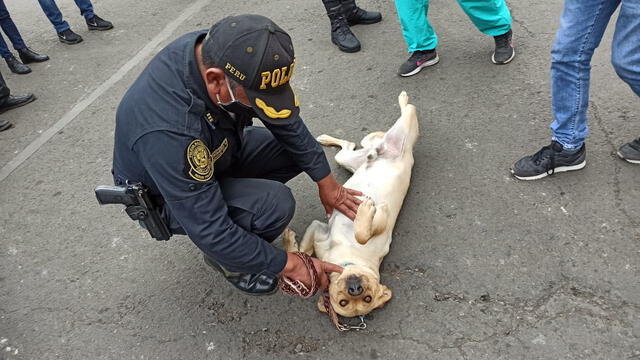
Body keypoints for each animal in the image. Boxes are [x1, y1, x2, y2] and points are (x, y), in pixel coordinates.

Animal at [284, 90, 420, 318]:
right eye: (344, 302)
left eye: (367, 298)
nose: (355, 288)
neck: (349, 259)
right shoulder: (318, 229)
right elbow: (305, 251)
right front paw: (295, 248)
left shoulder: (381, 227)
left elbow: (362, 233)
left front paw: (368, 210)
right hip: (347, 157)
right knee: (352, 143)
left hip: (406, 127)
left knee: (408, 109)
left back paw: (402, 98)